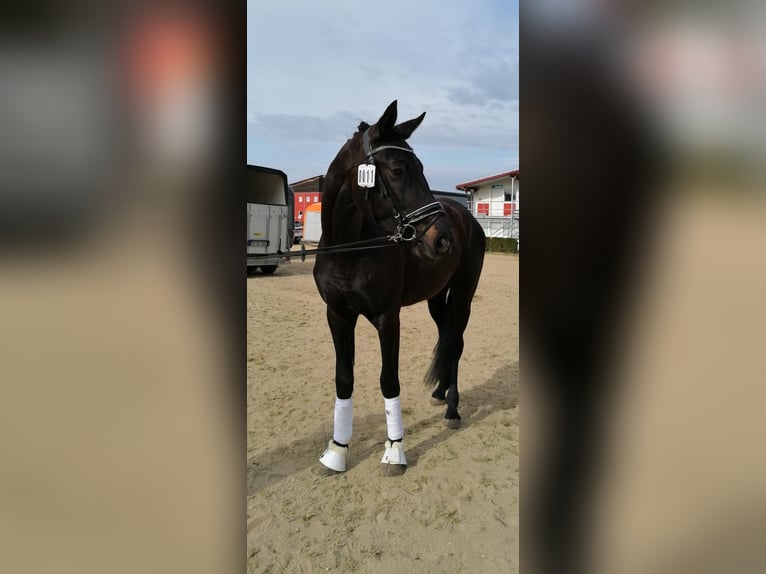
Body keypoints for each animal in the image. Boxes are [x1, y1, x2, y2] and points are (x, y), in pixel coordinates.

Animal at [312, 100, 485, 474]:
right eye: (397, 169)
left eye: (420, 167)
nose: (442, 240)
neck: (350, 251)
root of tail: (467, 218)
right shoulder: (337, 315)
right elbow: (343, 379)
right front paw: (337, 450)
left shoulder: (387, 318)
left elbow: (388, 380)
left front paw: (394, 450)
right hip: (436, 298)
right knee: (446, 337)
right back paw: (440, 393)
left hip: (463, 294)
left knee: (457, 342)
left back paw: (452, 408)